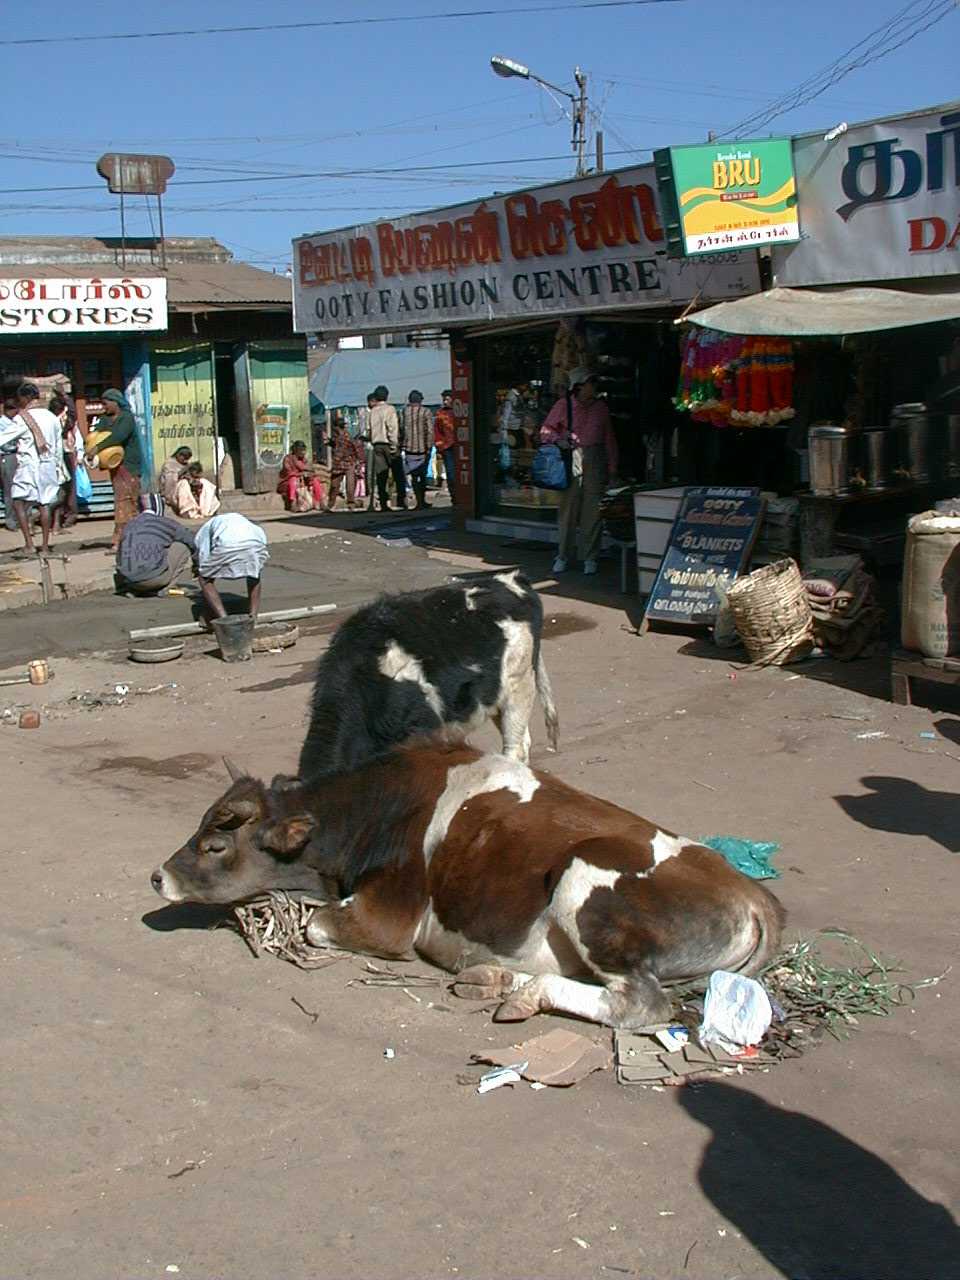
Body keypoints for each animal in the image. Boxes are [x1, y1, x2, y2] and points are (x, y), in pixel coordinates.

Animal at [154, 747, 783, 1024]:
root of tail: (751, 891)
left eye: (215, 847)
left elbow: (315, 926)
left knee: (643, 1004)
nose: (157, 875)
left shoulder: (390, 918)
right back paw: (493, 977)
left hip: (585, 882)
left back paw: (523, 993)